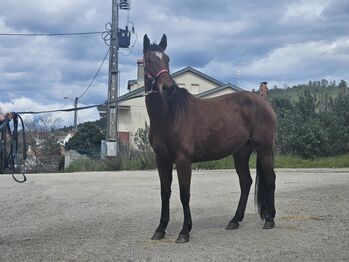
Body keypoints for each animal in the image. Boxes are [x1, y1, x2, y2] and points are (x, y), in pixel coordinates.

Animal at [143, 33, 276, 243]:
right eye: (148, 60)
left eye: (167, 59)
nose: (168, 88)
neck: (170, 115)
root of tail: (263, 102)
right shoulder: (162, 160)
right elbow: (165, 193)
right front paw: (160, 229)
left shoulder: (182, 160)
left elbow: (184, 194)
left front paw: (184, 231)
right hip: (241, 153)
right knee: (245, 182)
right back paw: (234, 220)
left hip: (264, 150)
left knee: (270, 179)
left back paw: (269, 220)